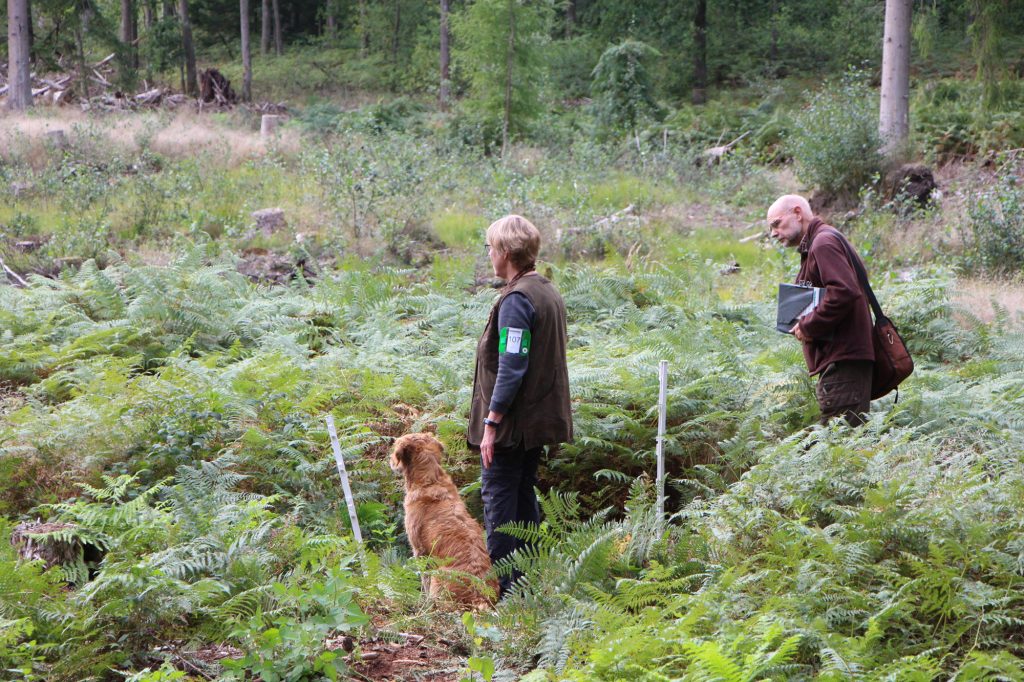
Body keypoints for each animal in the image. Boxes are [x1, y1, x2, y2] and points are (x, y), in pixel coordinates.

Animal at [389, 428, 497, 606]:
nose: (390, 460)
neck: (430, 480)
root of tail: (480, 597)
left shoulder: (420, 551)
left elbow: (424, 580)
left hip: (438, 577)